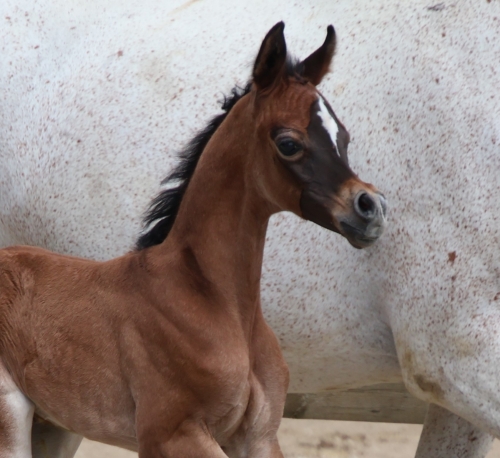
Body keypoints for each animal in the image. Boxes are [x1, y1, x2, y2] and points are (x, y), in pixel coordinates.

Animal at [0, 0, 498, 456]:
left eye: (343, 135)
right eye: (289, 142)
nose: (371, 209)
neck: (210, 299)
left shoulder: (258, 434)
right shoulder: (171, 434)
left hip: (56, 420)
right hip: (13, 413)